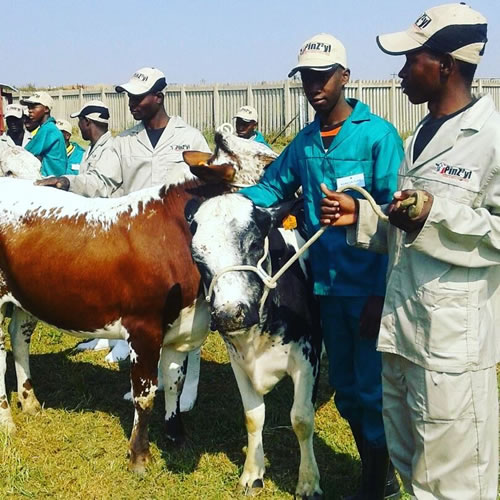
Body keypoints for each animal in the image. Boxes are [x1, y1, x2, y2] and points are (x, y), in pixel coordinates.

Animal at [0, 132, 276, 472]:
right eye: (263, 159)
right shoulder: (143, 328)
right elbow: (145, 394)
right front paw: (139, 455)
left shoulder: (181, 329)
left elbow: (173, 382)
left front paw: (176, 436)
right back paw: (7, 420)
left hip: (28, 297)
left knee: (19, 339)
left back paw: (30, 402)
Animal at [188, 192, 324, 500]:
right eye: (197, 257)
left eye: (254, 243)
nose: (229, 314)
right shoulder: (238, 362)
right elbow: (253, 417)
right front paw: (252, 474)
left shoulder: (308, 358)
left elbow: (301, 419)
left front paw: (308, 482)